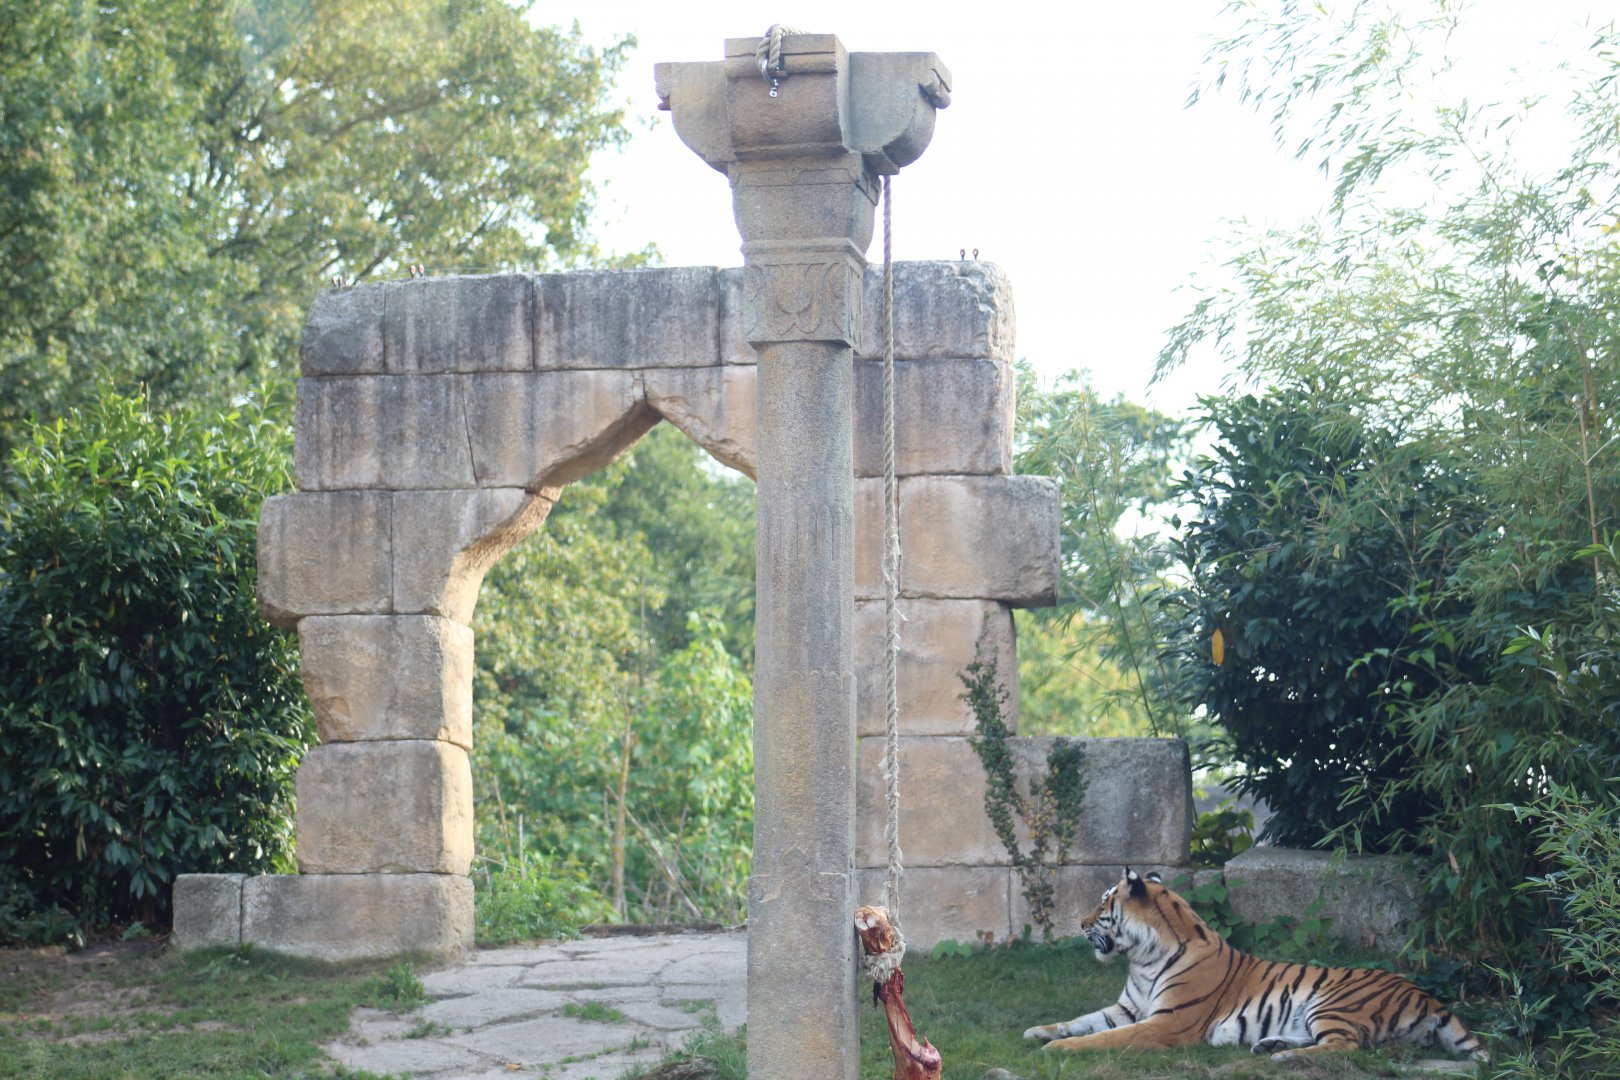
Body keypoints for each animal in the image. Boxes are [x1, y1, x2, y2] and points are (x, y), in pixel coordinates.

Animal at [1022, 867, 1487, 1063]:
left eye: (1103, 903)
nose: (1080, 923)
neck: (1141, 958)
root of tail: (1426, 995)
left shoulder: (1165, 1023)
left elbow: (1103, 1038)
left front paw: (1057, 1050)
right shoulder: (1127, 1009)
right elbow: (1083, 1020)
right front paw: (1039, 1031)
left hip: (1333, 1003)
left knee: (1346, 1047)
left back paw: (1283, 1059)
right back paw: (1270, 1046)